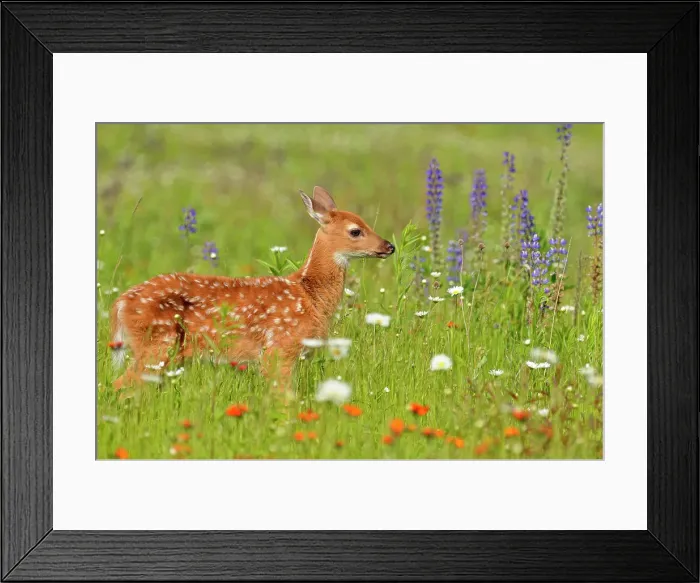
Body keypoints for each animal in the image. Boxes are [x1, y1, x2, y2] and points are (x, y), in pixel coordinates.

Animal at [109, 186, 395, 397]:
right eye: (355, 231)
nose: (389, 246)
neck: (309, 295)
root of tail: (121, 302)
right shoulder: (279, 347)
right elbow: (284, 398)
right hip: (156, 345)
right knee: (120, 385)